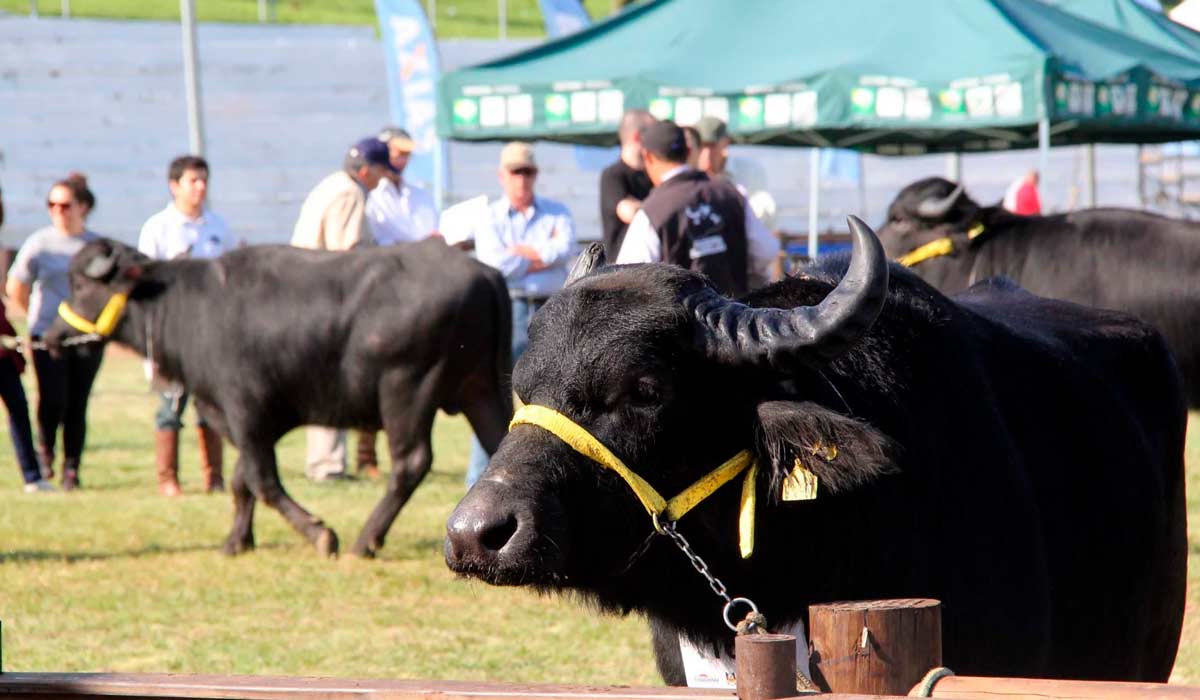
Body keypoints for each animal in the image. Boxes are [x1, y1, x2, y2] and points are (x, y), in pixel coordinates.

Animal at [48, 237, 511, 561]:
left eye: (79, 283)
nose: (51, 336)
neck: (187, 309)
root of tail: (483, 273)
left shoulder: (245, 411)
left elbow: (263, 481)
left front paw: (321, 534)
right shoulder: (238, 420)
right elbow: (241, 480)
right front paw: (236, 540)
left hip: (406, 391)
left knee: (410, 462)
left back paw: (365, 539)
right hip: (482, 391)